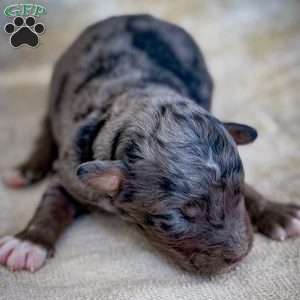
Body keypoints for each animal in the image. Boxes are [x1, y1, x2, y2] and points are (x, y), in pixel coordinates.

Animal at [1, 15, 298, 276]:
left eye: (237, 194)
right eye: (179, 215)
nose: (240, 256)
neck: (138, 96)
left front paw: (274, 210)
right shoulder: (71, 170)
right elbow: (52, 204)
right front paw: (29, 241)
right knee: (46, 127)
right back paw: (26, 168)